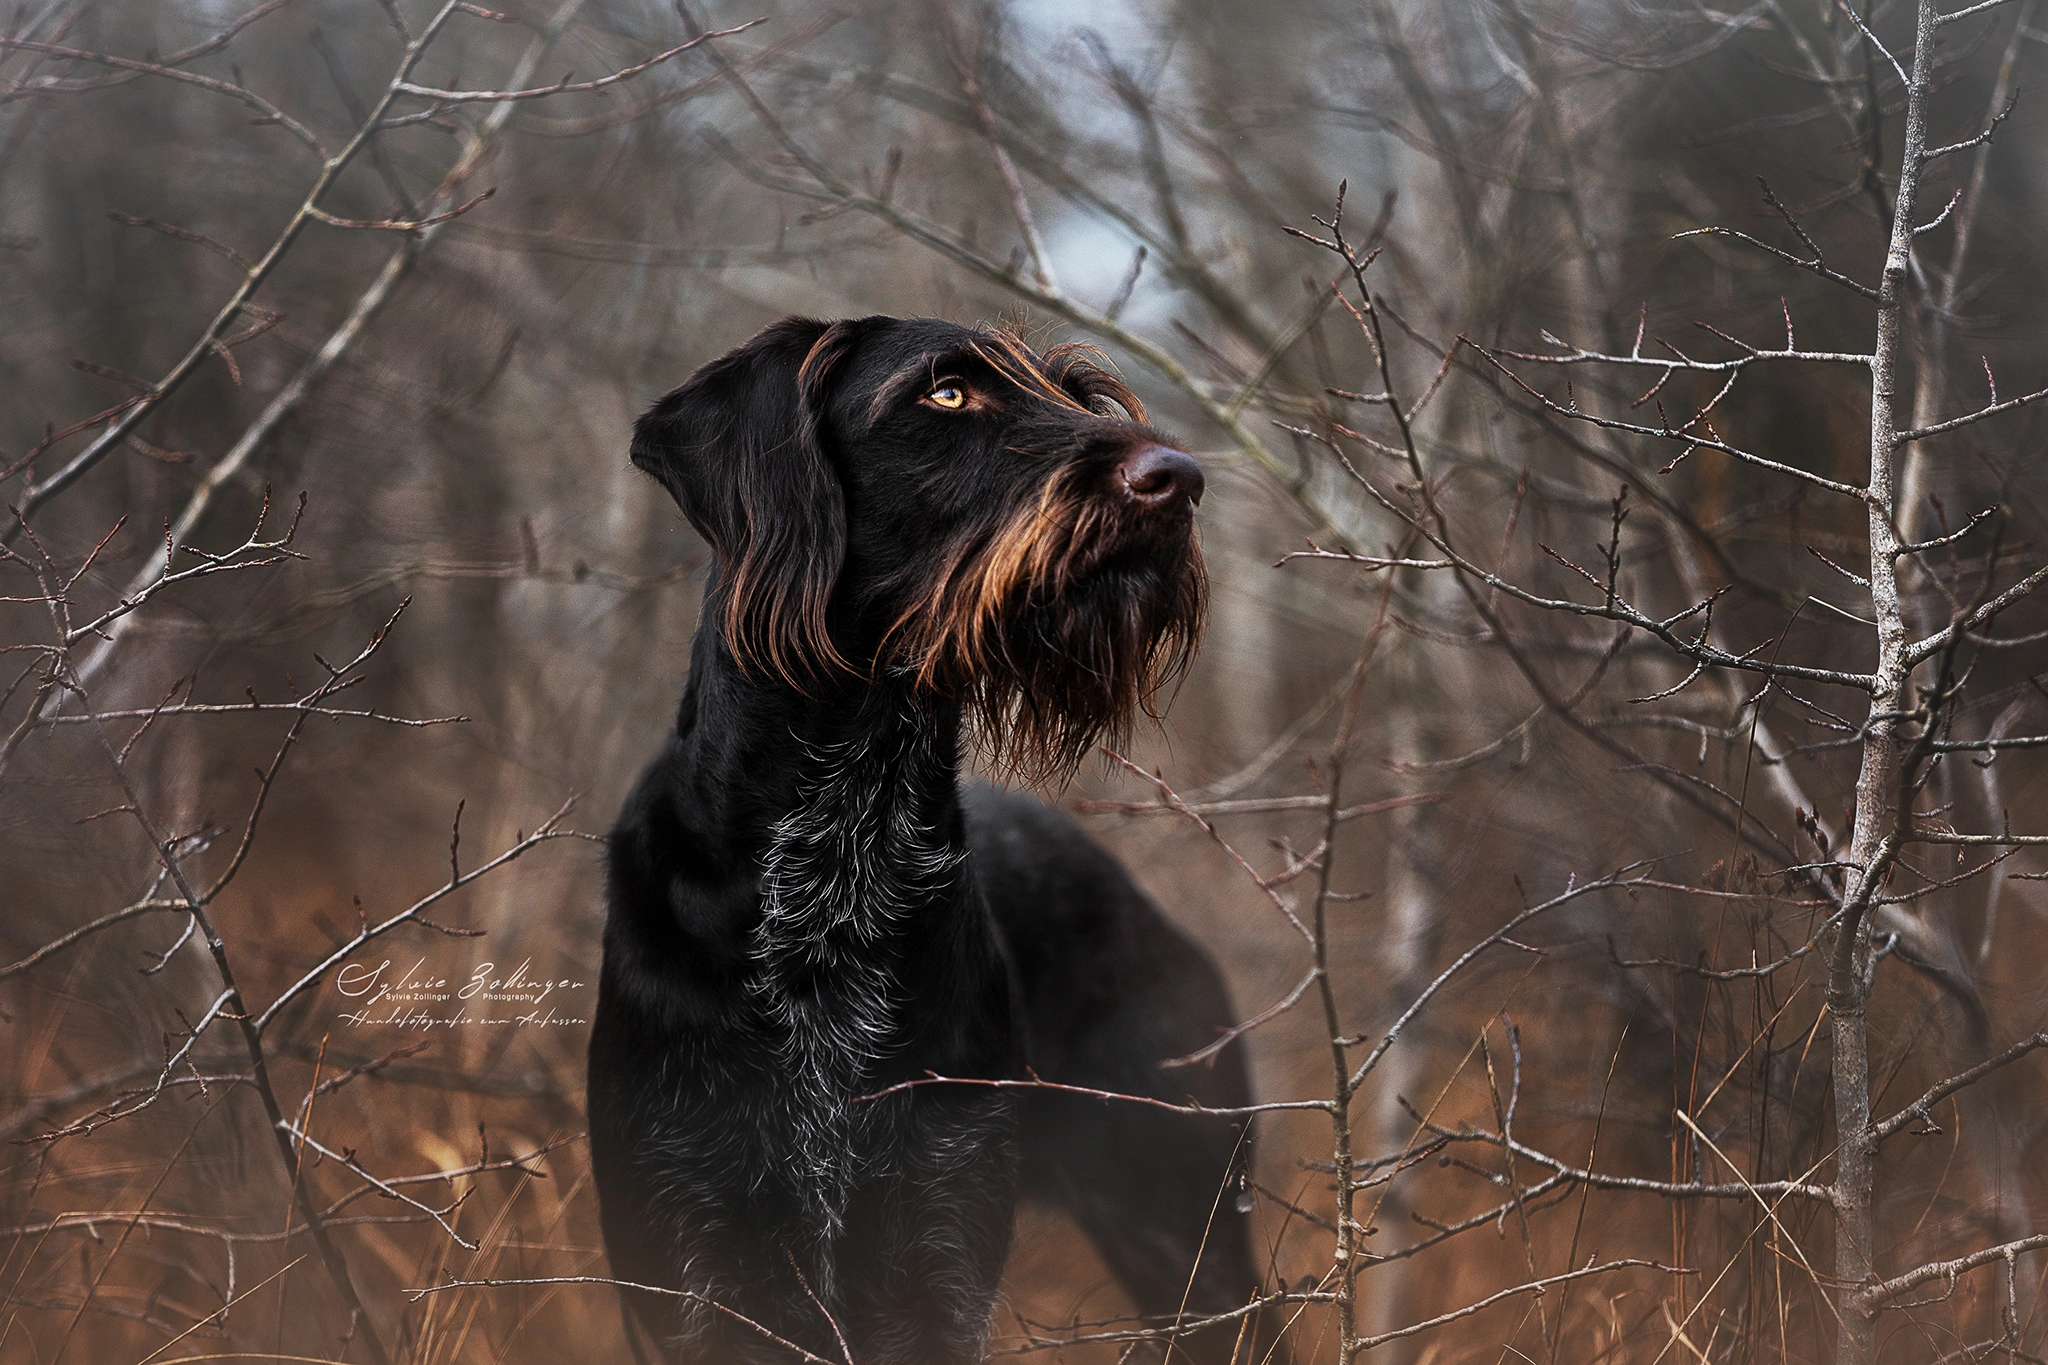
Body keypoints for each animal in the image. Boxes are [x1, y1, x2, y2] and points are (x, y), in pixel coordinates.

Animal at [585, 315, 1269, 1358]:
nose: (1181, 478)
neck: (844, 839)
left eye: (1082, 396)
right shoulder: (689, 1272)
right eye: (945, 393)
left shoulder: (934, 1253)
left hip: (1192, 1236)